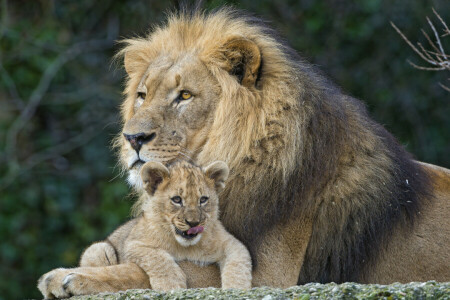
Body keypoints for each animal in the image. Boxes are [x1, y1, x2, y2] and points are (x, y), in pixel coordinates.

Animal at [38, 7, 450, 298]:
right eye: (142, 95)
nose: (133, 138)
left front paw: (67, 275)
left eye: (184, 95)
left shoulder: (269, 275)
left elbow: (156, 270)